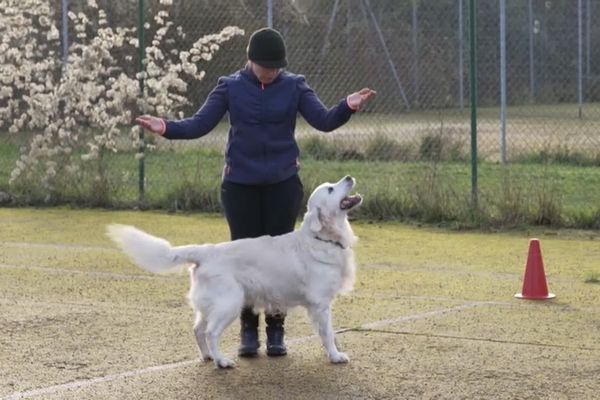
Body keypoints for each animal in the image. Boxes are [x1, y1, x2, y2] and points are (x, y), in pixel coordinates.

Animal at [107, 175, 360, 368]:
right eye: (330, 188)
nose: (349, 177)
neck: (322, 239)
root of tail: (205, 252)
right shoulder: (320, 304)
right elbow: (328, 333)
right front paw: (335, 355)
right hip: (230, 302)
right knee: (211, 332)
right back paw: (222, 361)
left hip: (211, 305)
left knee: (198, 329)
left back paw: (208, 356)